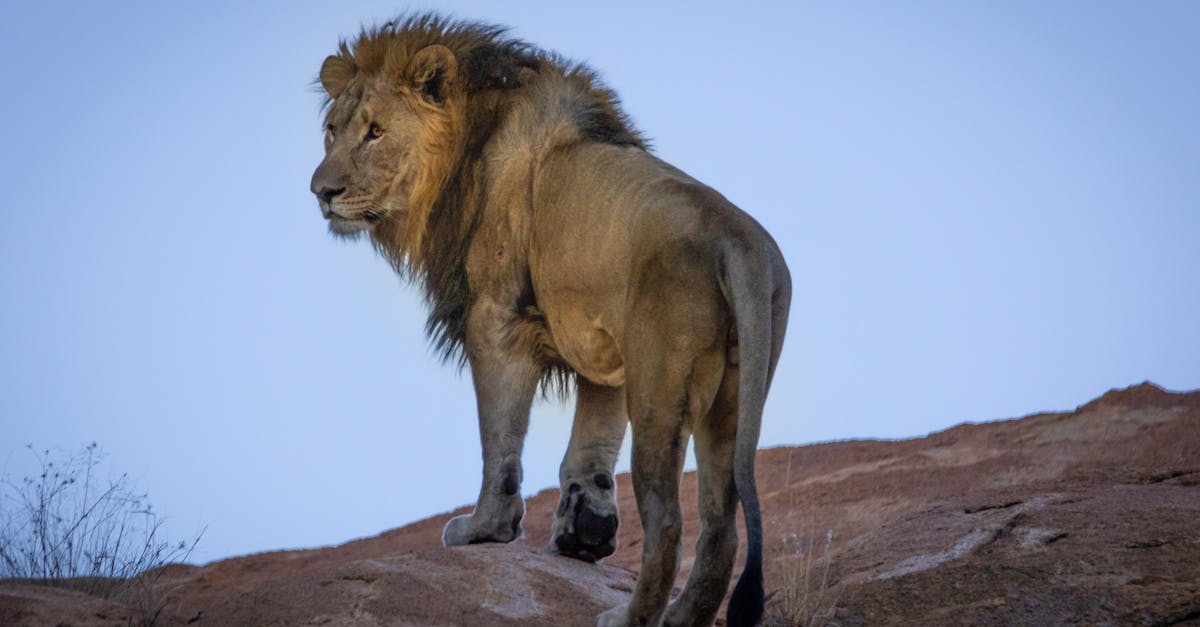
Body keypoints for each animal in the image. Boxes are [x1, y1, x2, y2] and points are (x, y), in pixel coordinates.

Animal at [314, 14, 792, 624]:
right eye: (331, 130)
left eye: (375, 132)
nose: (322, 192)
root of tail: (739, 240)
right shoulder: (604, 348)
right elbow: (589, 449)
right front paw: (584, 533)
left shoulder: (495, 320)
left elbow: (499, 441)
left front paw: (485, 529)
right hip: (731, 396)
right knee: (721, 525)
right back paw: (681, 616)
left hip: (661, 390)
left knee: (668, 522)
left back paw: (629, 618)